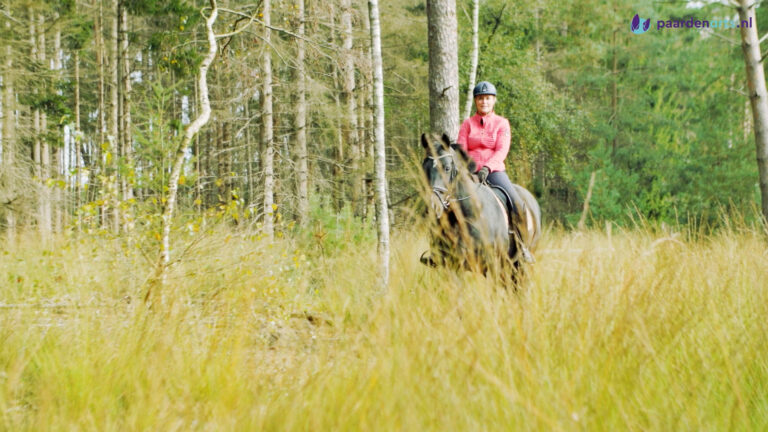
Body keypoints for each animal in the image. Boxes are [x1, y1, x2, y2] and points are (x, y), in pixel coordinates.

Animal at [419, 132, 541, 282]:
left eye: (447, 168)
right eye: (424, 168)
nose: (433, 205)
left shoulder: (492, 265)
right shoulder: (453, 265)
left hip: (519, 265)